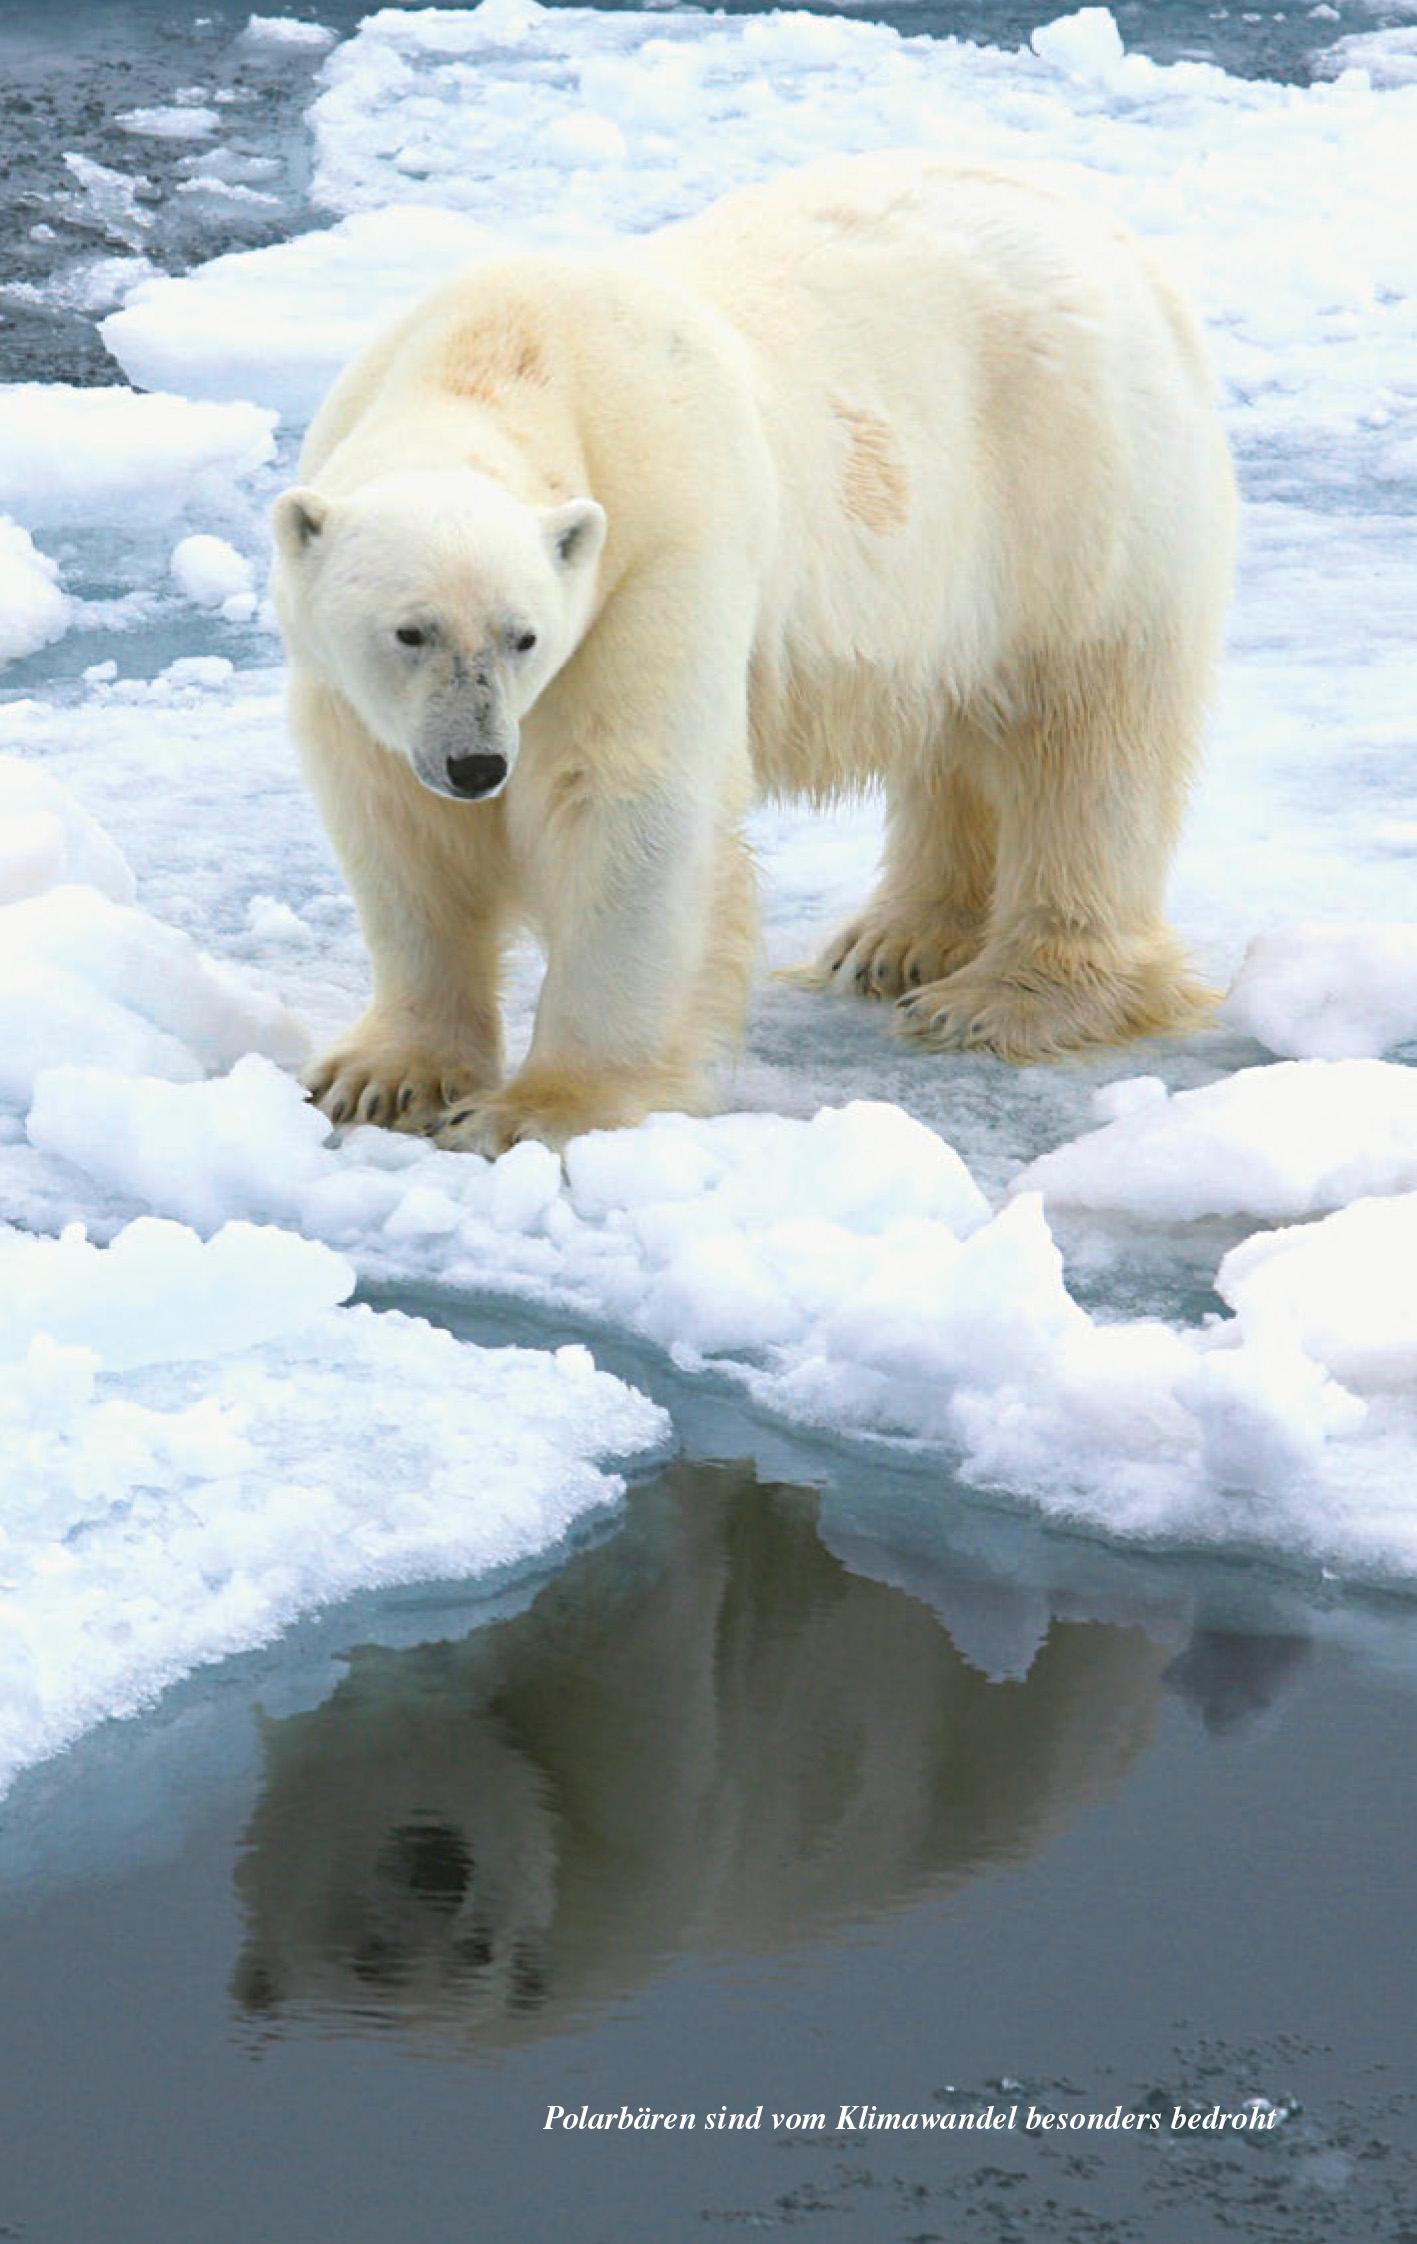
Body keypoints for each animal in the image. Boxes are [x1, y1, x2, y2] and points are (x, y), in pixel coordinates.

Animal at [271, 153, 1239, 1157]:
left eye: (522, 634)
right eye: (408, 631)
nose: (476, 764)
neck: (505, 359)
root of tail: (1109, 238)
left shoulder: (657, 552)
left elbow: (628, 800)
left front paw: (538, 1108)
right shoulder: (346, 683)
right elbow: (396, 825)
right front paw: (379, 1078)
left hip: (1074, 494)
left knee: (1085, 738)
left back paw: (1005, 996)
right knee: (957, 727)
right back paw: (894, 943)